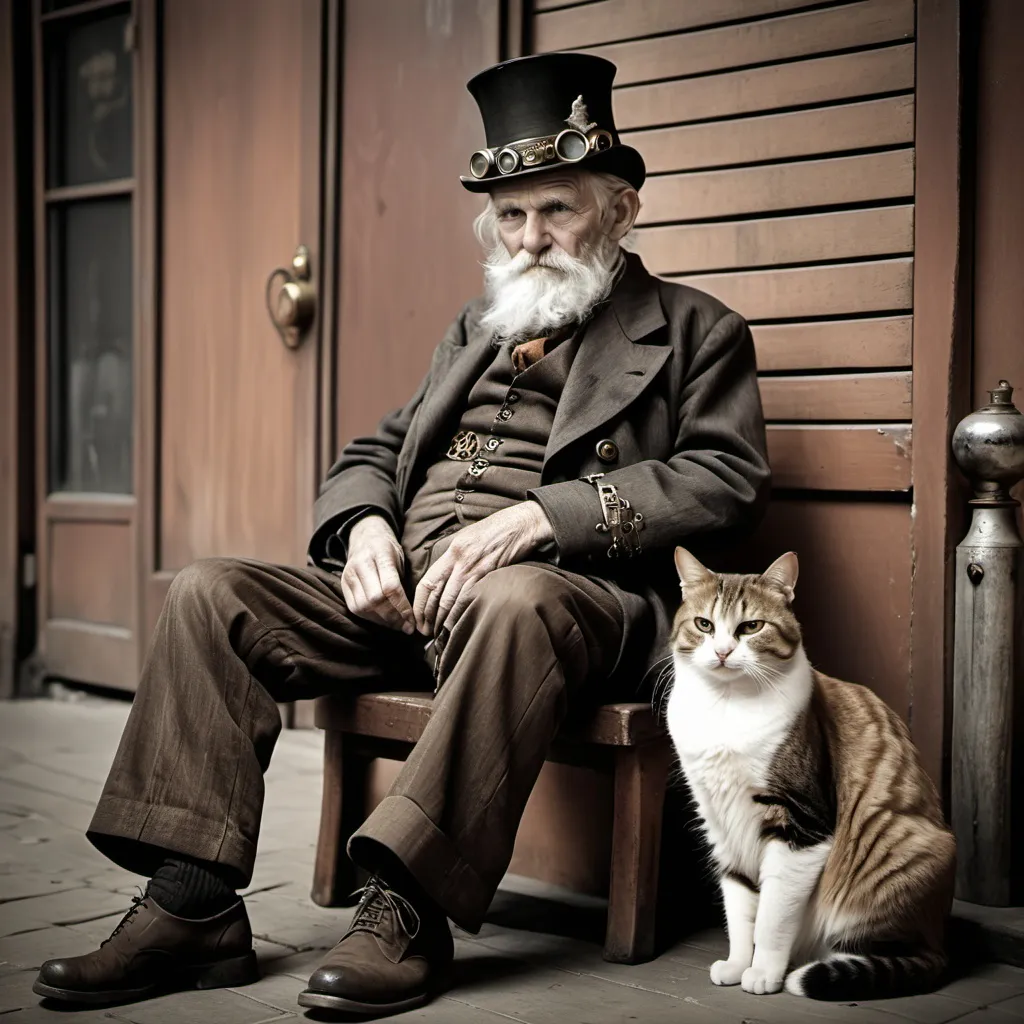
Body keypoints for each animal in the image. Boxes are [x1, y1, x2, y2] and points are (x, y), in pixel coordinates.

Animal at [663, 548, 958, 995]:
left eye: (751, 627)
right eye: (704, 624)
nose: (723, 652)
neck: (726, 707)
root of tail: (939, 939)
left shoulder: (801, 822)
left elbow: (771, 916)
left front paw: (763, 973)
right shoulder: (721, 823)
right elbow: (740, 907)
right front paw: (738, 964)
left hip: (900, 852)